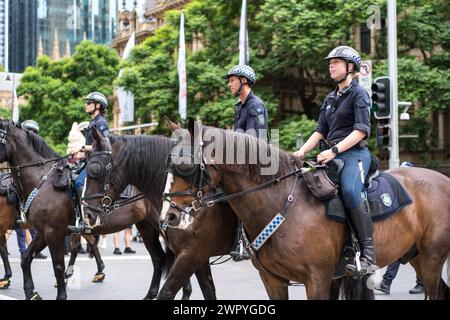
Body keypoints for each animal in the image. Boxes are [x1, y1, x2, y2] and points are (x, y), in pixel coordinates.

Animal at [0, 120, 192, 300]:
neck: (43, 181)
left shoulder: (53, 233)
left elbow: (58, 266)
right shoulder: (43, 232)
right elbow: (25, 258)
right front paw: (31, 292)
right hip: (146, 227)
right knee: (159, 258)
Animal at [161, 122, 450, 300]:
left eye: (187, 165)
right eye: (168, 164)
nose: (169, 215)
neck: (283, 202)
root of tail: (443, 179)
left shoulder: (318, 279)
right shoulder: (273, 281)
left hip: (432, 258)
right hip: (416, 256)